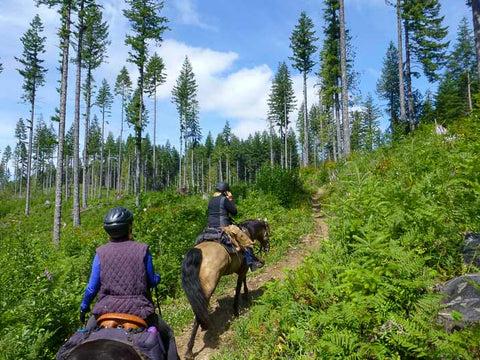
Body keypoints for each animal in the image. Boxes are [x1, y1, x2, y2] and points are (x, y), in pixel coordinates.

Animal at [180, 219, 270, 358]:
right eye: (267, 232)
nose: (267, 248)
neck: (247, 231)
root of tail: (197, 253)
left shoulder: (242, 268)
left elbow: (243, 281)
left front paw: (246, 296)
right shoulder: (243, 267)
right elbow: (238, 287)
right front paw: (237, 310)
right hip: (207, 289)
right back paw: (190, 348)